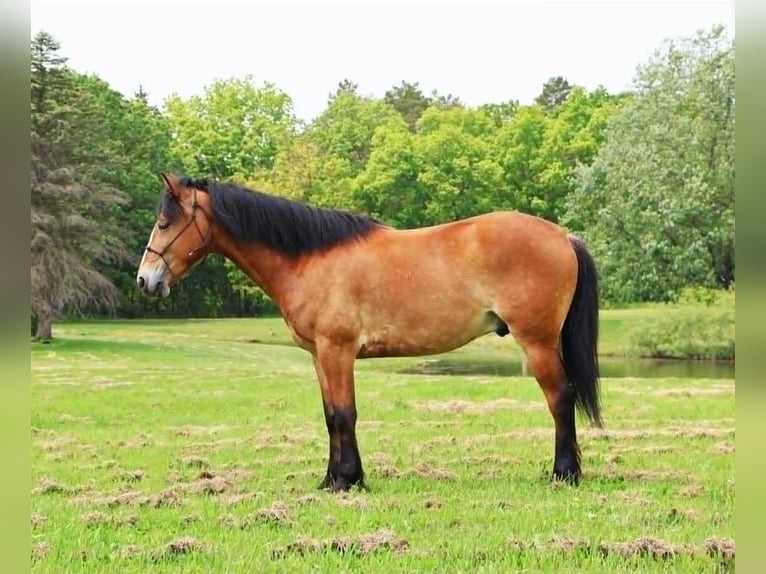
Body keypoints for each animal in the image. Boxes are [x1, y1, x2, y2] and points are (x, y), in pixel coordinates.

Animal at [136, 173, 603, 492]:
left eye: (164, 222)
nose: (145, 280)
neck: (309, 259)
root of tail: (563, 235)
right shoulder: (320, 355)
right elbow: (330, 416)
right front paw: (334, 479)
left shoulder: (337, 351)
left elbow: (345, 414)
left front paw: (348, 480)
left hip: (537, 342)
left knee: (560, 399)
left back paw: (564, 473)